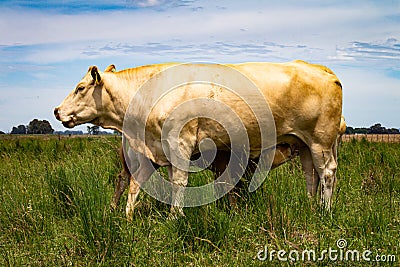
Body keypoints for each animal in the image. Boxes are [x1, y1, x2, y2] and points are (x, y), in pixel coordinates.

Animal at [54, 60, 344, 218]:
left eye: (80, 88)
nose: (56, 111)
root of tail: (322, 69)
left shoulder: (180, 142)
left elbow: (179, 181)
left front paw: (175, 217)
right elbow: (171, 180)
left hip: (320, 140)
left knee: (327, 172)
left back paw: (326, 210)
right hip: (304, 143)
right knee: (311, 174)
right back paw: (310, 206)